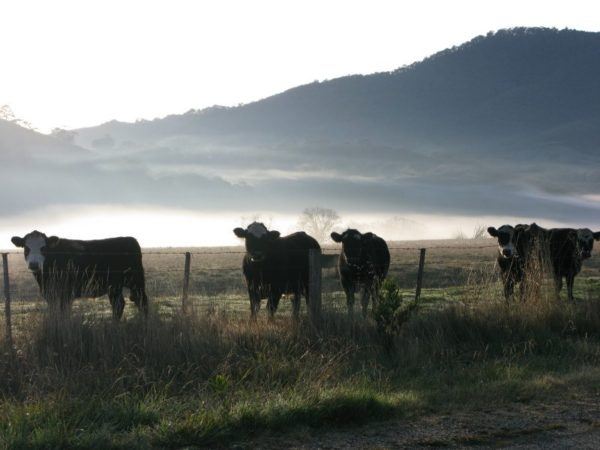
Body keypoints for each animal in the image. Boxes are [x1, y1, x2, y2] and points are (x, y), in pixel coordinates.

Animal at [10, 230, 149, 318]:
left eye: (43, 248)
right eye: (26, 248)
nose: (34, 264)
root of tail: (130, 239)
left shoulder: (66, 293)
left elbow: (64, 313)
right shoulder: (50, 295)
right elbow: (54, 313)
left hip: (136, 281)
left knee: (142, 302)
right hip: (115, 286)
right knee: (119, 304)